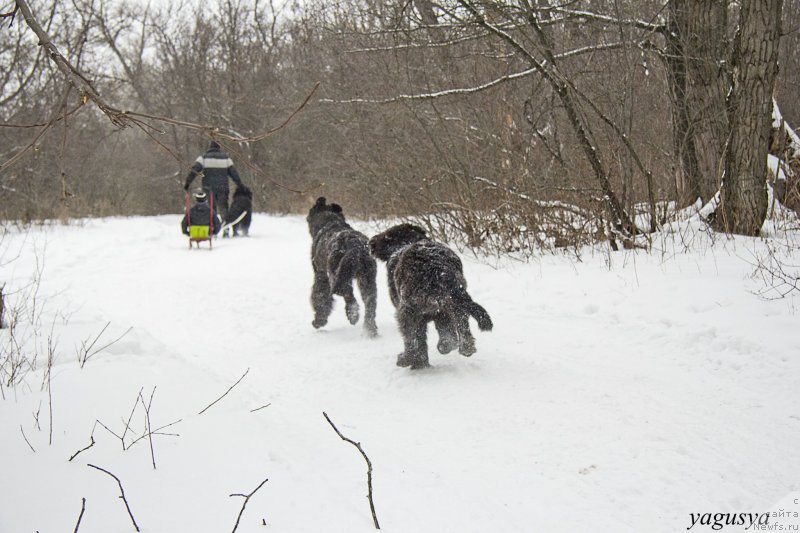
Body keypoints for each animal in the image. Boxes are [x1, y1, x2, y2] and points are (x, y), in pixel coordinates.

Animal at [308, 195, 380, 336]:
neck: (329, 222)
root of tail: (356, 245)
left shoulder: (321, 275)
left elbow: (320, 297)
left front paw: (319, 321)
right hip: (367, 278)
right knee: (370, 303)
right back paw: (370, 330)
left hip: (336, 276)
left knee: (347, 294)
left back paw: (353, 315)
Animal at [370, 222, 494, 368]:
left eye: (387, 237)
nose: (371, 242)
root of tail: (438, 266)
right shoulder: (440, 314)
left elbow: (419, 339)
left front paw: (420, 364)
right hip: (452, 302)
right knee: (461, 321)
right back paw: (465, 347)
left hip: (410, 309)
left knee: (410, 336)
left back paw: (405, 358)